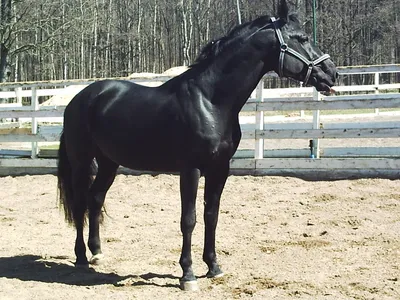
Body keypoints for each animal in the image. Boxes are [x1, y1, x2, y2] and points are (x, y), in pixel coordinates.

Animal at [56, 0, 338, 290]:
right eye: (302, 38)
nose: (332, 74)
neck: (209, 101)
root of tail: (80, 99)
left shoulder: (220, 168)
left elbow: (211, 215)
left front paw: (213, 267)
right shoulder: (190, 170)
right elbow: (188, 219)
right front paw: (187, 274)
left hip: (109, 163)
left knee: (95, 198)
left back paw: (97, 252)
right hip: (82, 162)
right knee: (80, 204)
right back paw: (81, 258)